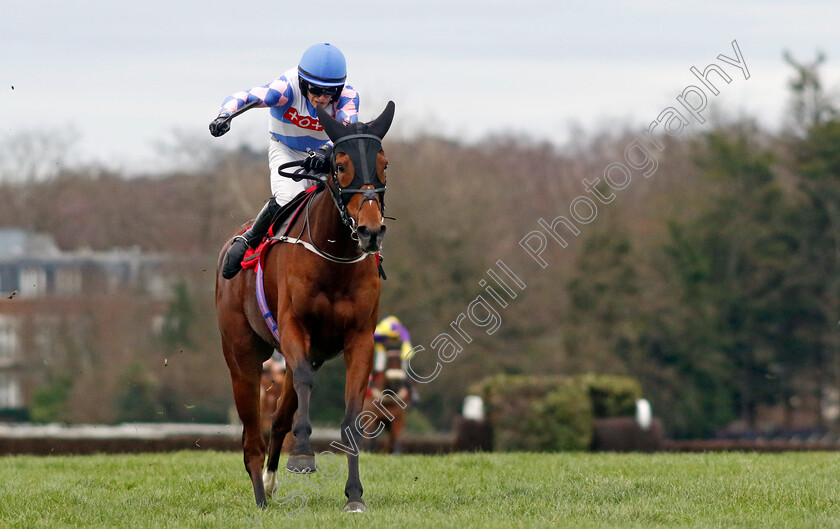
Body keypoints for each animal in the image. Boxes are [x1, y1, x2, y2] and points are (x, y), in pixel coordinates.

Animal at [218, 101, 398, 510]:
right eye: (341, 165)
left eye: (384, 163)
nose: (370, 231)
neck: (334, 257)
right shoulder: (294, 327)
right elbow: (303, 380)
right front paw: (302, 456)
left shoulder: (360, 338)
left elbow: (351, 415)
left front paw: (354, 495)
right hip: (241, 355)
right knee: (252, 434)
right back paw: (260, 496)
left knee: (278, 418)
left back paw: (269, 483)